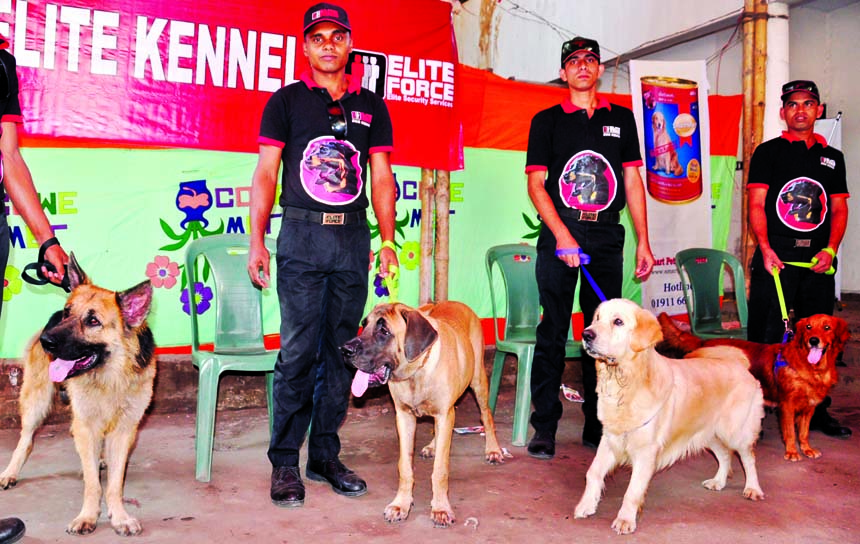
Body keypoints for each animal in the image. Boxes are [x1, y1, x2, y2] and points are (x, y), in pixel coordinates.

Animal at [0, 255, 155, 536]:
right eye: (67, 312)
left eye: (93, 321)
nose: (46, 341)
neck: (109, 375)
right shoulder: (86, 424)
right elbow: (94, 484)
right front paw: (88, 516)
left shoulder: (124, 430)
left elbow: (115, 483)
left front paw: (119, 517)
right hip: (36, 401)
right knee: (26, 440)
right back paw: (11, 471)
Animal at [340, 302, 504, 528]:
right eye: (364, 325)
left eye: (384, 331)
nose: (344, 350)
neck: (416, 372)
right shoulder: (404, 417)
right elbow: (405, 466)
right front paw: (400, 504)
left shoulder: (444, 414)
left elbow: (440, 469)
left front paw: (441, 508)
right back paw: (432, 446)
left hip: (478, 380)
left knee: (486, 415)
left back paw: (493, 449)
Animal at [572, 300, 764, 532]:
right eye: (597, 318)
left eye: (618, 321)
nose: (586, 334)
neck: (625, 381)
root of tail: (740, 365)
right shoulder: (610, 439)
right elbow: (593, 473)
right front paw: (586, 506)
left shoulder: (646, 451)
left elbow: (632, 491)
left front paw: (625, 520)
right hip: (707, 434)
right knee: (725, 455)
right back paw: (718, 482)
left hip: (735, 432)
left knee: (748, 458)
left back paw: (753, 488)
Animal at [660, 312, 848, 462]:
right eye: (809, 327)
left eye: (827, 327)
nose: (813, 340)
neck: (811, 367)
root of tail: (703, 342)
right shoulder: (787, 405)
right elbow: (790, 432)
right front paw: (792, 452)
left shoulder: (809, 407)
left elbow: (803, 432)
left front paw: (807, 449)